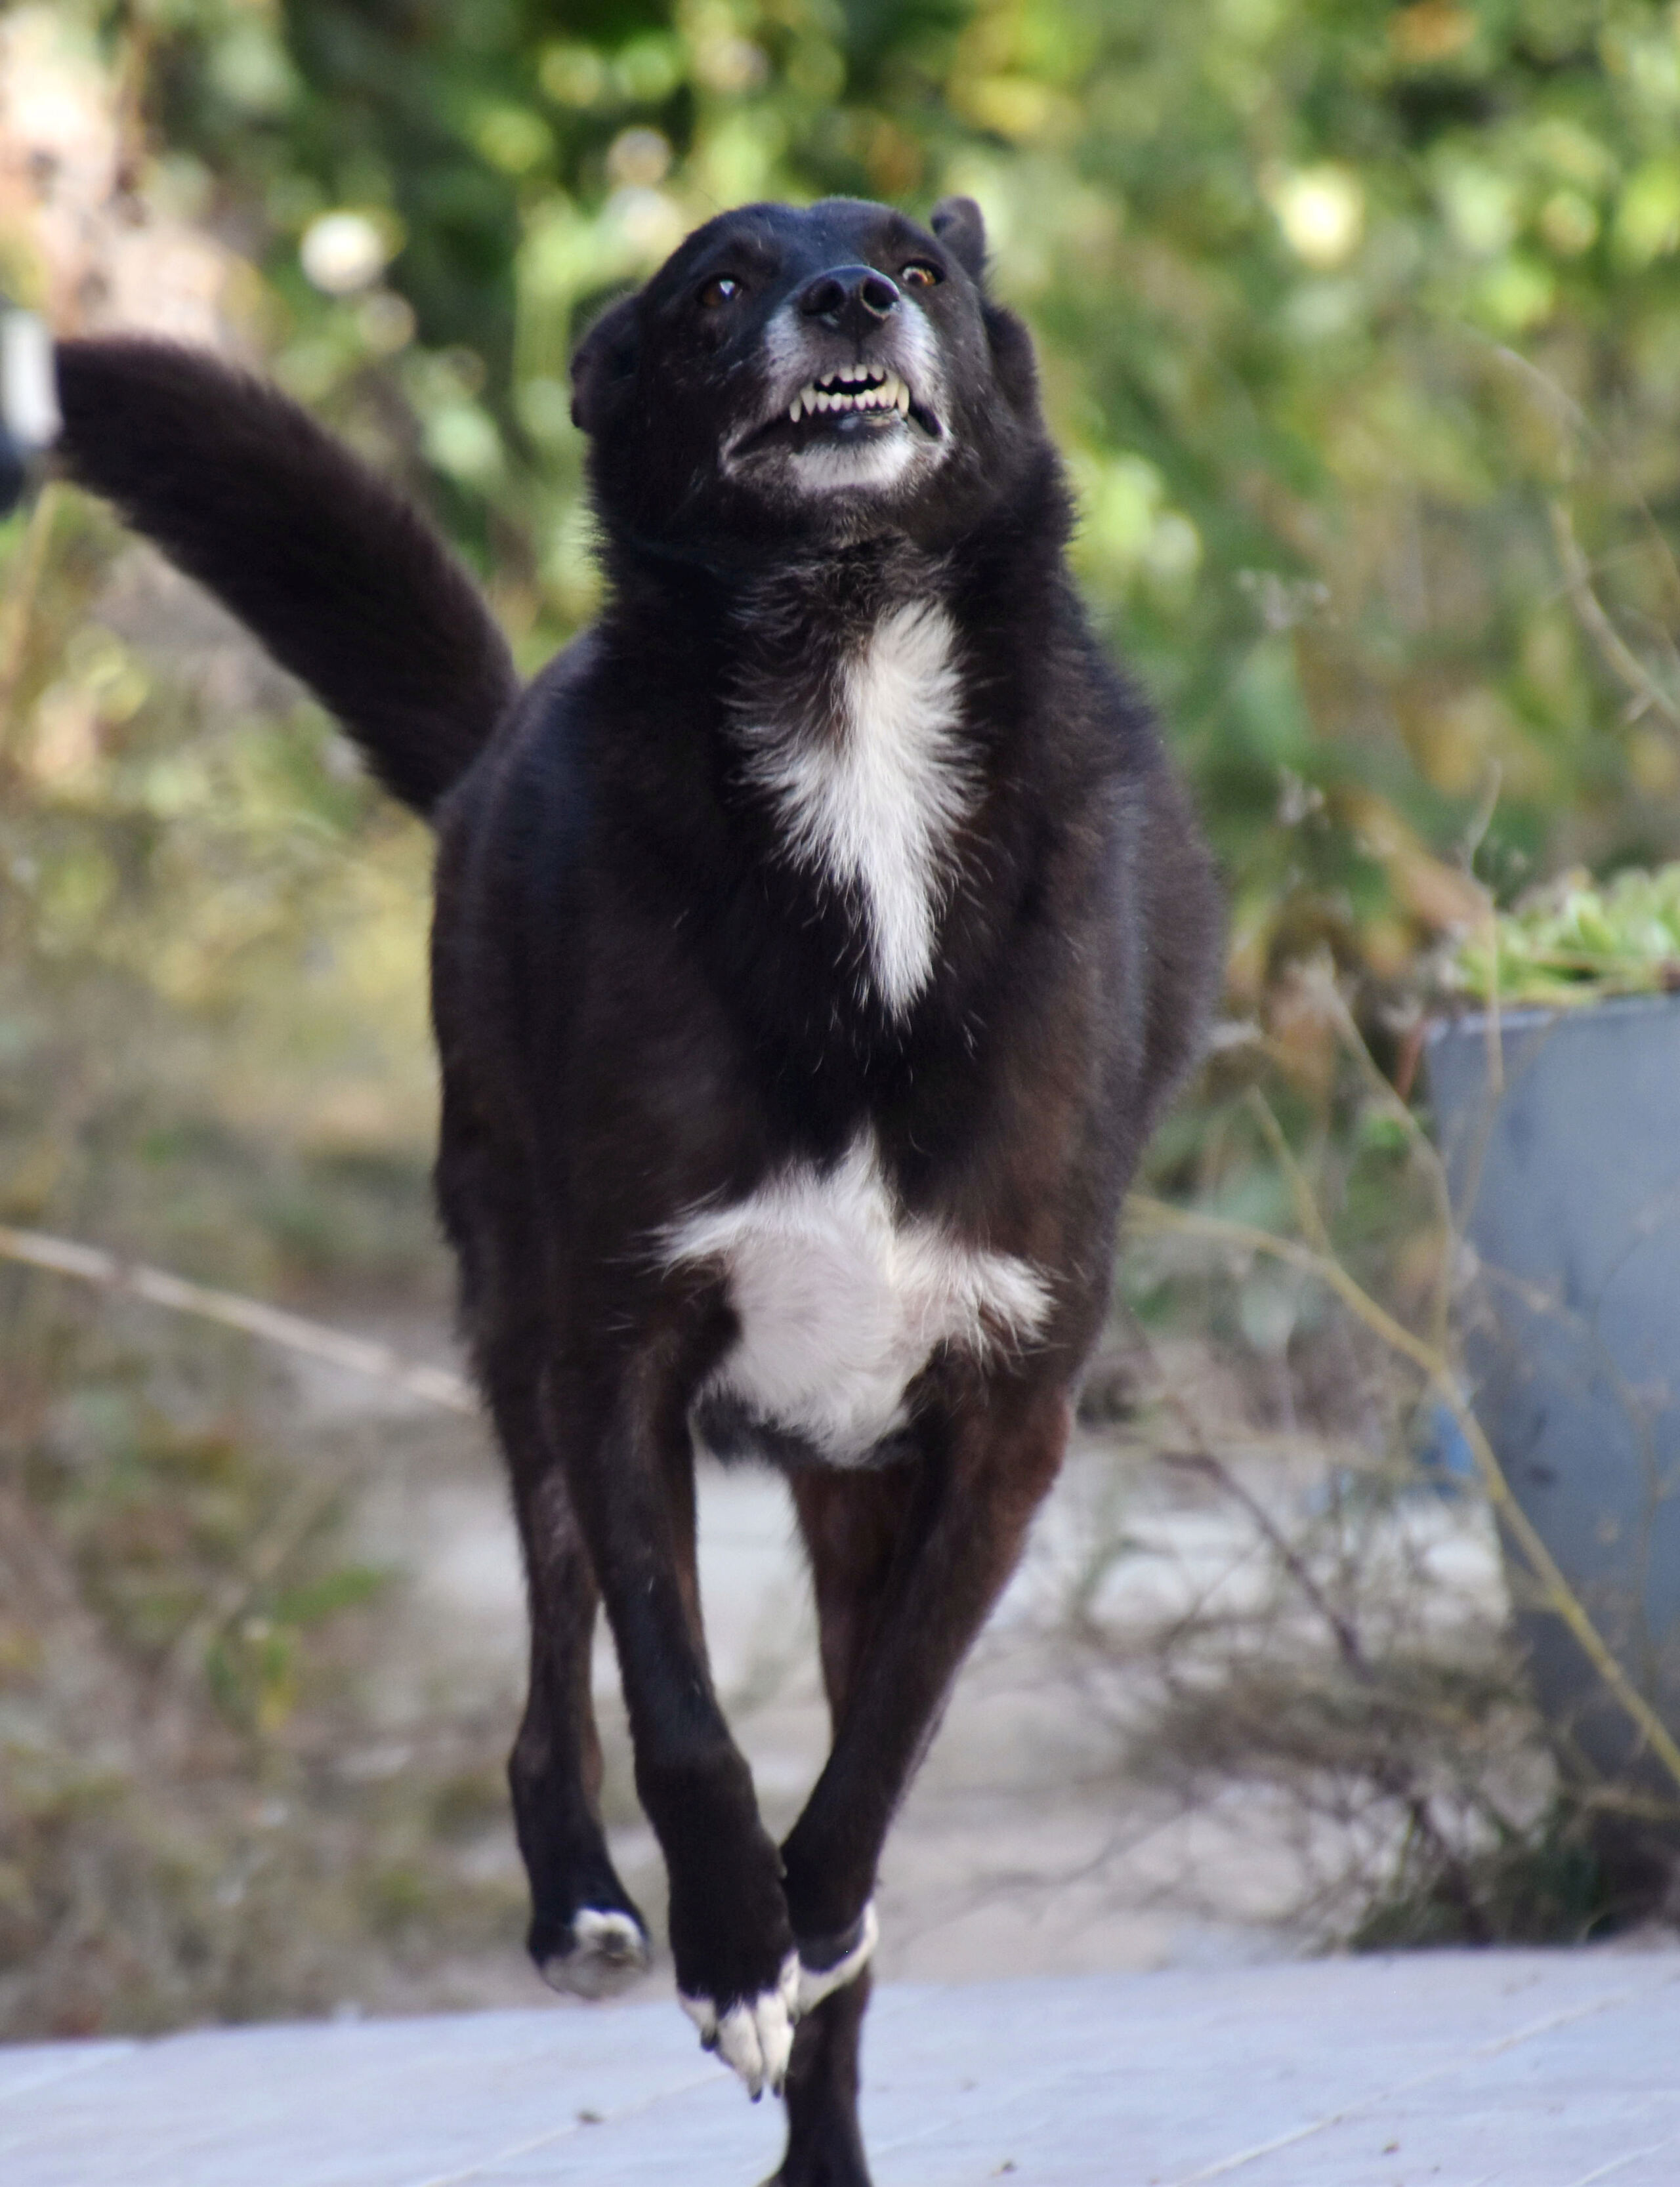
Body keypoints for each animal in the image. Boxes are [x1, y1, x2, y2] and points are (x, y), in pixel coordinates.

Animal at [39, 192, 1225, 2187]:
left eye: (920, 261)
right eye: (721, 284)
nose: (855, 297)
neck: (848, 705)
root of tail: (493, 750)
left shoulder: (1006, 1420)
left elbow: (881, 1753)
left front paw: (802, 1922)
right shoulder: (624, 1352)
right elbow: (679, 1714)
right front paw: (733, 1939)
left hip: (841, 1484)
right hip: (513, 1321)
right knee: (549, 1676)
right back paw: (588, 1901)